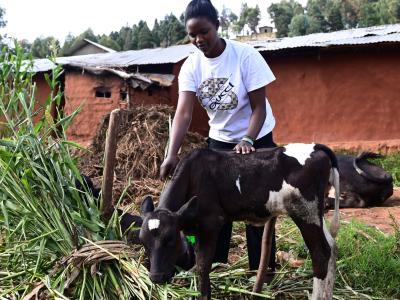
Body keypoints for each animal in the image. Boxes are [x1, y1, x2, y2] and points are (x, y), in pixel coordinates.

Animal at [139, 144, 340, 298]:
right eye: (143, 242)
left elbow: (202, 267)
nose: (156, 277)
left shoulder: (211, 224)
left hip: (304, 211)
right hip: (315, 213)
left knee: (321, 253)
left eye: (170, 239)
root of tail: (315, 147)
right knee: (331, 247)